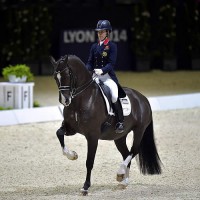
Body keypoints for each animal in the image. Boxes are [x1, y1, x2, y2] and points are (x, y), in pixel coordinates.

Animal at [49, 54, 162, 195]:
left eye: (67, 75)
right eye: (55, 77)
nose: (65, 100)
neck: (81, 99)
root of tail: (143, 98)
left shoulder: (92, 136)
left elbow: (89, 162)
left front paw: (85, 187)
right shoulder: (71, 129)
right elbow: (59, 133)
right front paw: (72, 155)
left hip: (139, 130)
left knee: (133, 151)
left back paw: (120, 173)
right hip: (119, 137)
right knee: (126, 154)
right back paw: (124, 181)